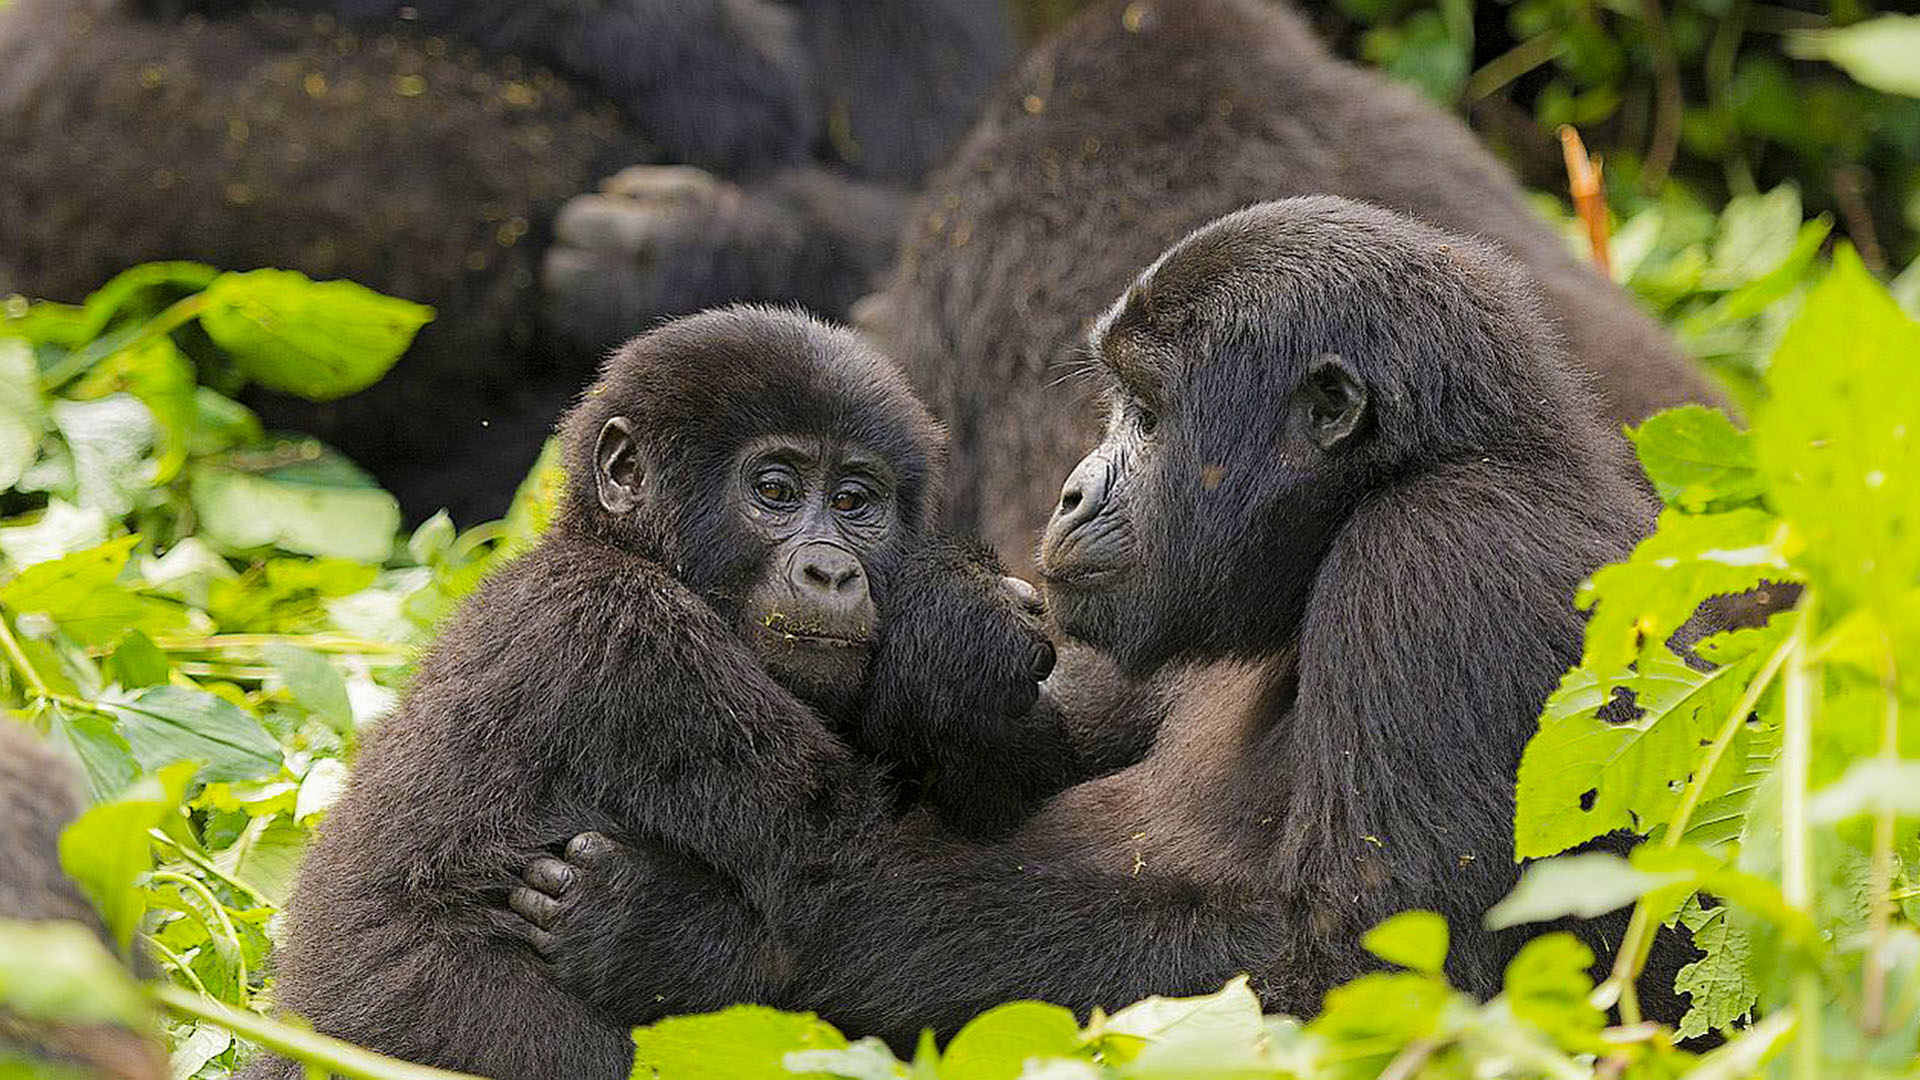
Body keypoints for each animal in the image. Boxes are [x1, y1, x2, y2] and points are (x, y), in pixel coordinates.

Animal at [241, 305, 1075, 1076]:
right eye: (776, 489)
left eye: (852, 502)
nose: (832, 572)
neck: (619, 544)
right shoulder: (633, 637)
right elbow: (852, 875)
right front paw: (961, 631)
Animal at [510, 197, 1697, 1037]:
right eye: (1117, 403)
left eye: (1150, 414)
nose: (1074, 491)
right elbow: (1035, 757)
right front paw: (948, 642)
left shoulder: (1443, 561)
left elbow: (1362, 980)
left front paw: (713, 939)